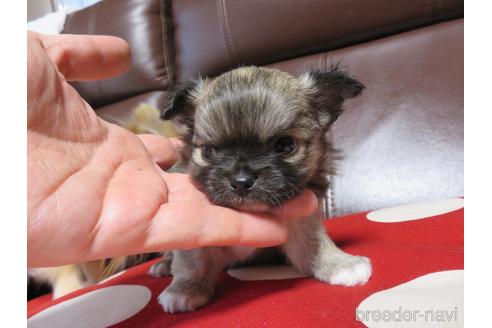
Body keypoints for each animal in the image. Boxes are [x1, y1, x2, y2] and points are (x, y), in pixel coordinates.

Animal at [151, 66, 372, 312]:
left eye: (285, 145)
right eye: (208, 151)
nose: (241, 180)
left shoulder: (301, 224)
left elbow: (315, 246)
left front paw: (340, 263)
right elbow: (194, 260)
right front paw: (186, 289)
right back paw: (163, 265)